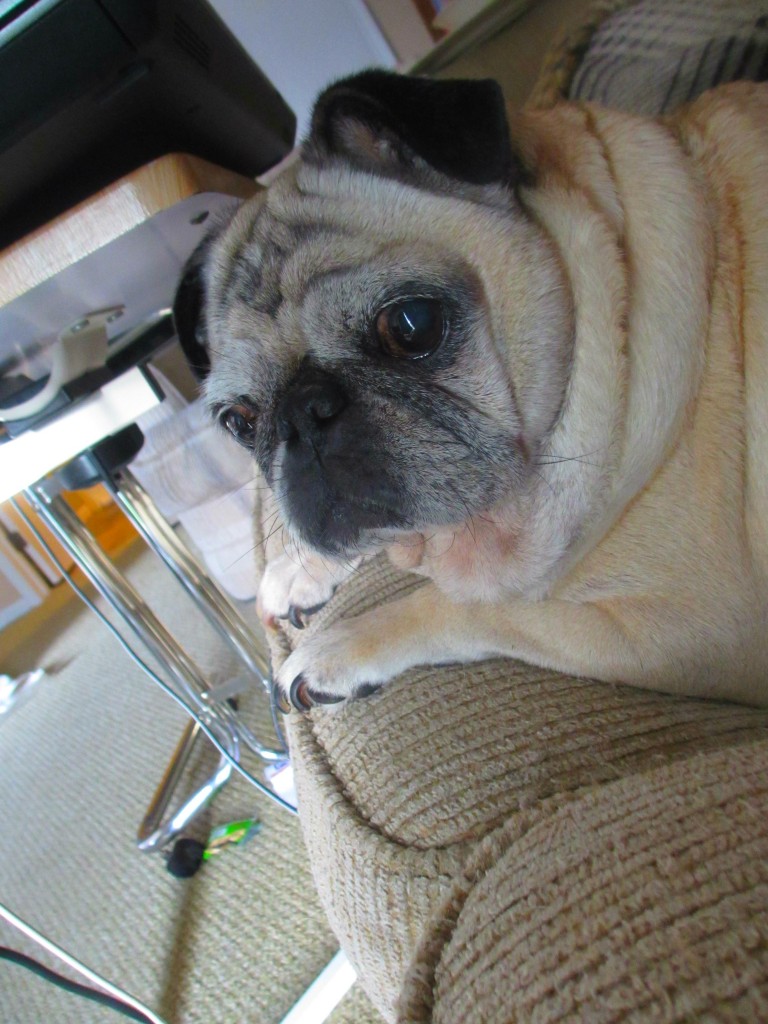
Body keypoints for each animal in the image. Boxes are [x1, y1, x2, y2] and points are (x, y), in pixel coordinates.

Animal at [174, 72, 768, 712]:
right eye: (239, 422)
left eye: (411, 324)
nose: (302, 415)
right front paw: (301, 567)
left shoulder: (697, 626)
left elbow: (485, 604)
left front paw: (343, 646)